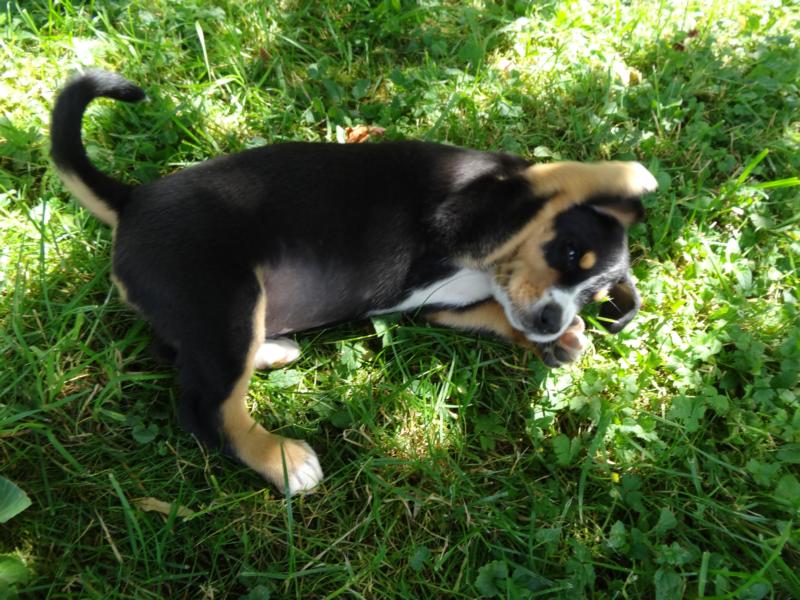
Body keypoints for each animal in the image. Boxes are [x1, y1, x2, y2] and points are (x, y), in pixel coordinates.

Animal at [51, 71, 657, 496]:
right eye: (569, 252)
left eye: (595, 295)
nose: (554, 321)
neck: (489, 266)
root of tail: (134, 201)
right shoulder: (469, 216)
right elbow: (554, 177)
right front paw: (629, 175)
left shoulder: (442, 304)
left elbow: (494, 312)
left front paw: (565, 340)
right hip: (224, 299)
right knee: (205, 408)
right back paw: (282, 460)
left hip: (210, 312)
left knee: (174, 353)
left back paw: (270, 352)